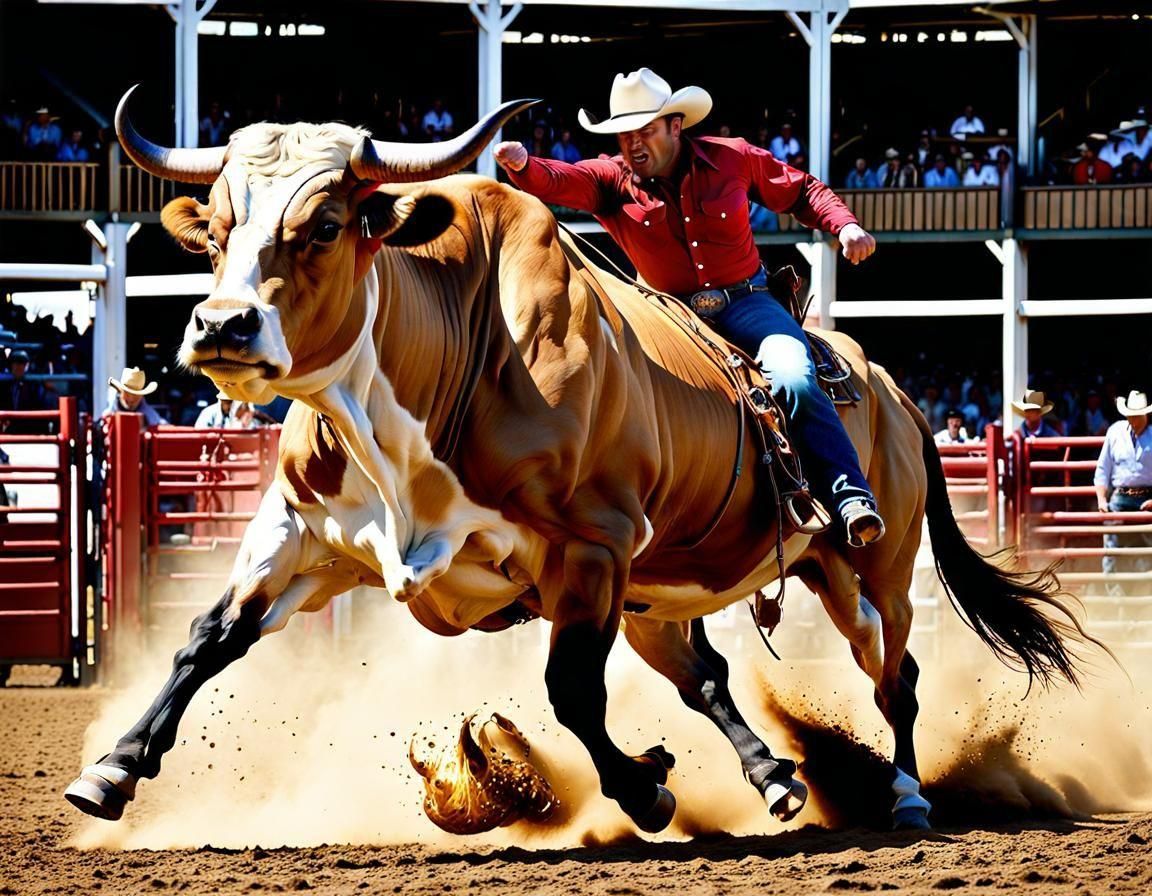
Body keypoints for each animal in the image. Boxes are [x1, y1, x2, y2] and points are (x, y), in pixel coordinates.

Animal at [66, 87, 1097, 834]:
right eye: (217, 229)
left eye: (325, 224)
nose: (220, 327)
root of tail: (888, 386)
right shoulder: (300, 535)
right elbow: (208, 637)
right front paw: (111, 769)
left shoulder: (590, 552)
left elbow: (570, 692)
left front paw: (646, 791)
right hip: (660, 593)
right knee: (709, 676)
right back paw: (773, 778)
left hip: (868, 567)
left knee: (896, 676)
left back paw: (907, 794)